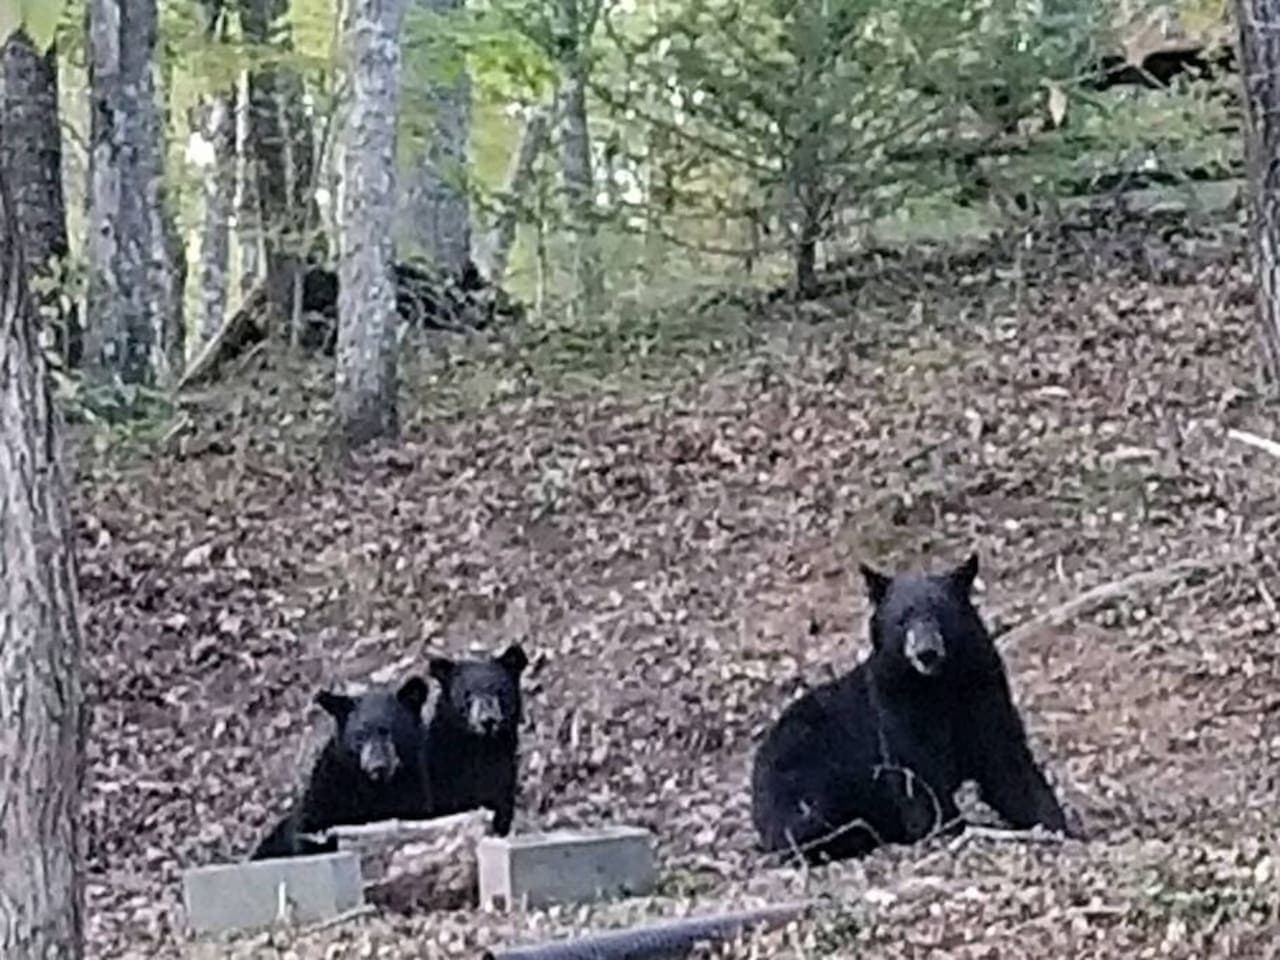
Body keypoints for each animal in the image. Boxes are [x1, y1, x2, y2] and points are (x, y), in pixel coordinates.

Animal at [250, 676, 433, 860]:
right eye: (360, 735)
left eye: (387, 731)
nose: (377, 765)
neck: (373, 788)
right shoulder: (327, 797)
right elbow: (312, 833)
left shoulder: (412, 795)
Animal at [750, 553, 1074, 864]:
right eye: (903, 619)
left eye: (940, 613)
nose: (926, 652)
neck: (938, 685)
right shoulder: (895, 707)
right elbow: (917, 774)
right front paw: (947, 831)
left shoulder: (984, 694)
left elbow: (1007, 764)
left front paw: (1058, 827)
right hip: (809, 774)